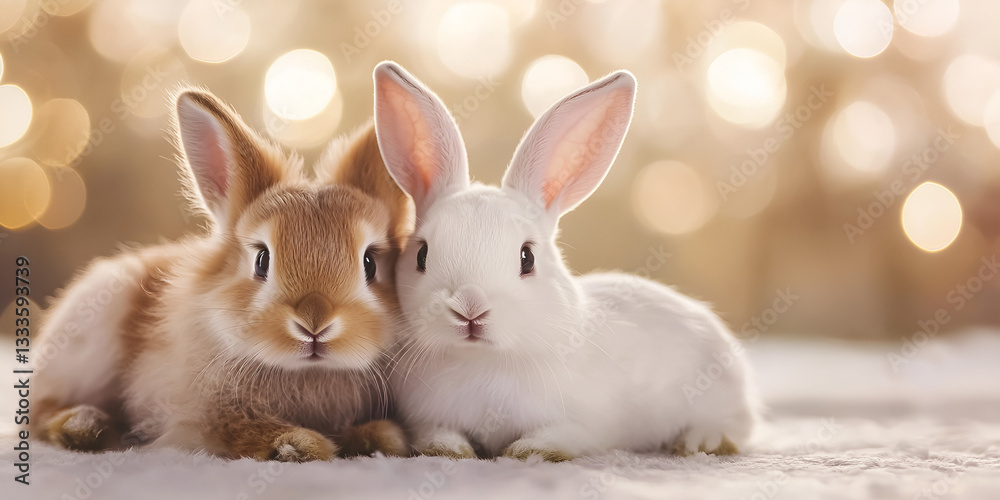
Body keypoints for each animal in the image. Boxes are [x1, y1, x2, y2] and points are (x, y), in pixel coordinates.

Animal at [30, 88, 414, 461]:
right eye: (261, 260)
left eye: (370, 263)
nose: (314, 323)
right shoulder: (199, 417)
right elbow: (235, 429)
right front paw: (300, 445)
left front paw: (381, 439)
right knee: (39, 411)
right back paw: (84, 426)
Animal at [372, 61, 758, 461]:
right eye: (422, 254)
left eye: (527, 257)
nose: (470, 308)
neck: (482, 360)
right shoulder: (424, 418)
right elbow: (436, 436)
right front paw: (452, 450)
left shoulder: (588, 426)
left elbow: (563, 437)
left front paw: (525, 450)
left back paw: (700, 441)